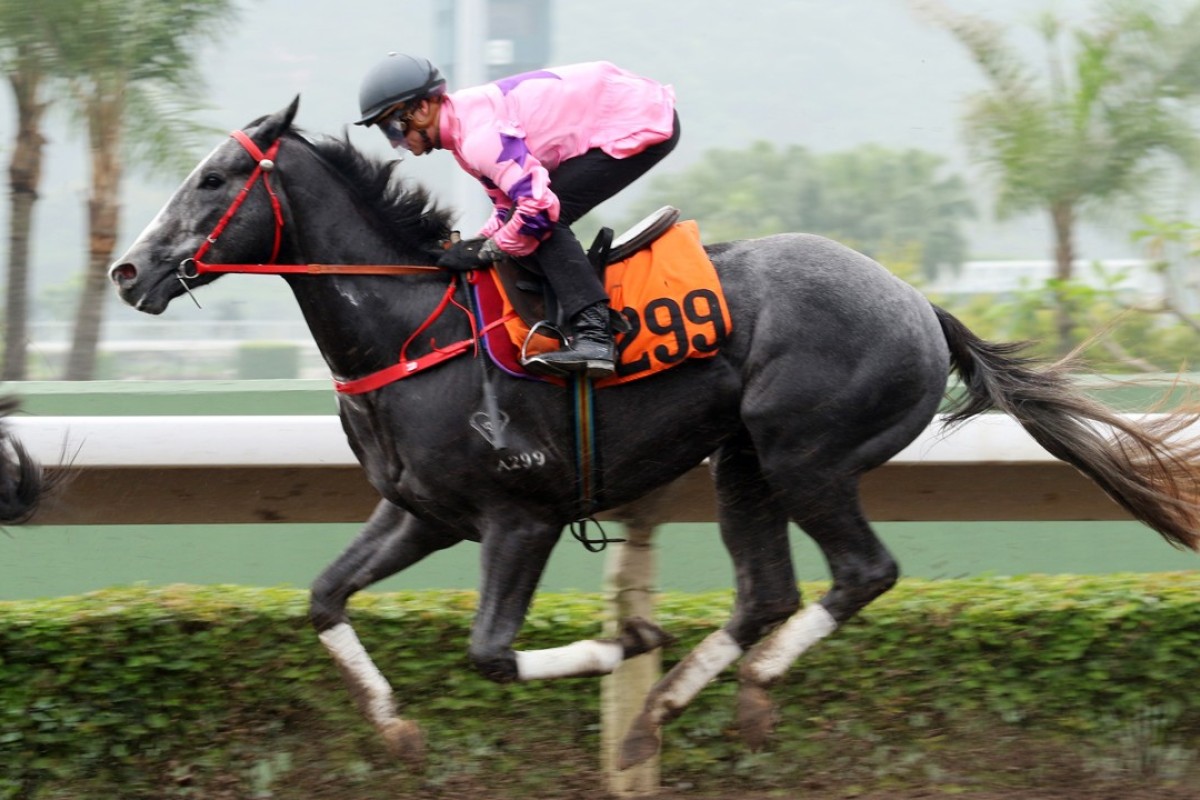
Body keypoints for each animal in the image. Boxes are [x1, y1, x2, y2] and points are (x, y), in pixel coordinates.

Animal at [110, 100, 1200, 767]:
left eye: (214, 179)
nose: (128, 270)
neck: (414, 329)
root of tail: (920, 303)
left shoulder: (520, 515)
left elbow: (491, 651)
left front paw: (622, 641)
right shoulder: (422, 513)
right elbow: (325, 596)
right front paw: (396, 728)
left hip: (805, 452)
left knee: (861, 572)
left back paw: (726, 687)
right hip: (744, 462)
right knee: (769, 591)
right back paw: (669, 708)